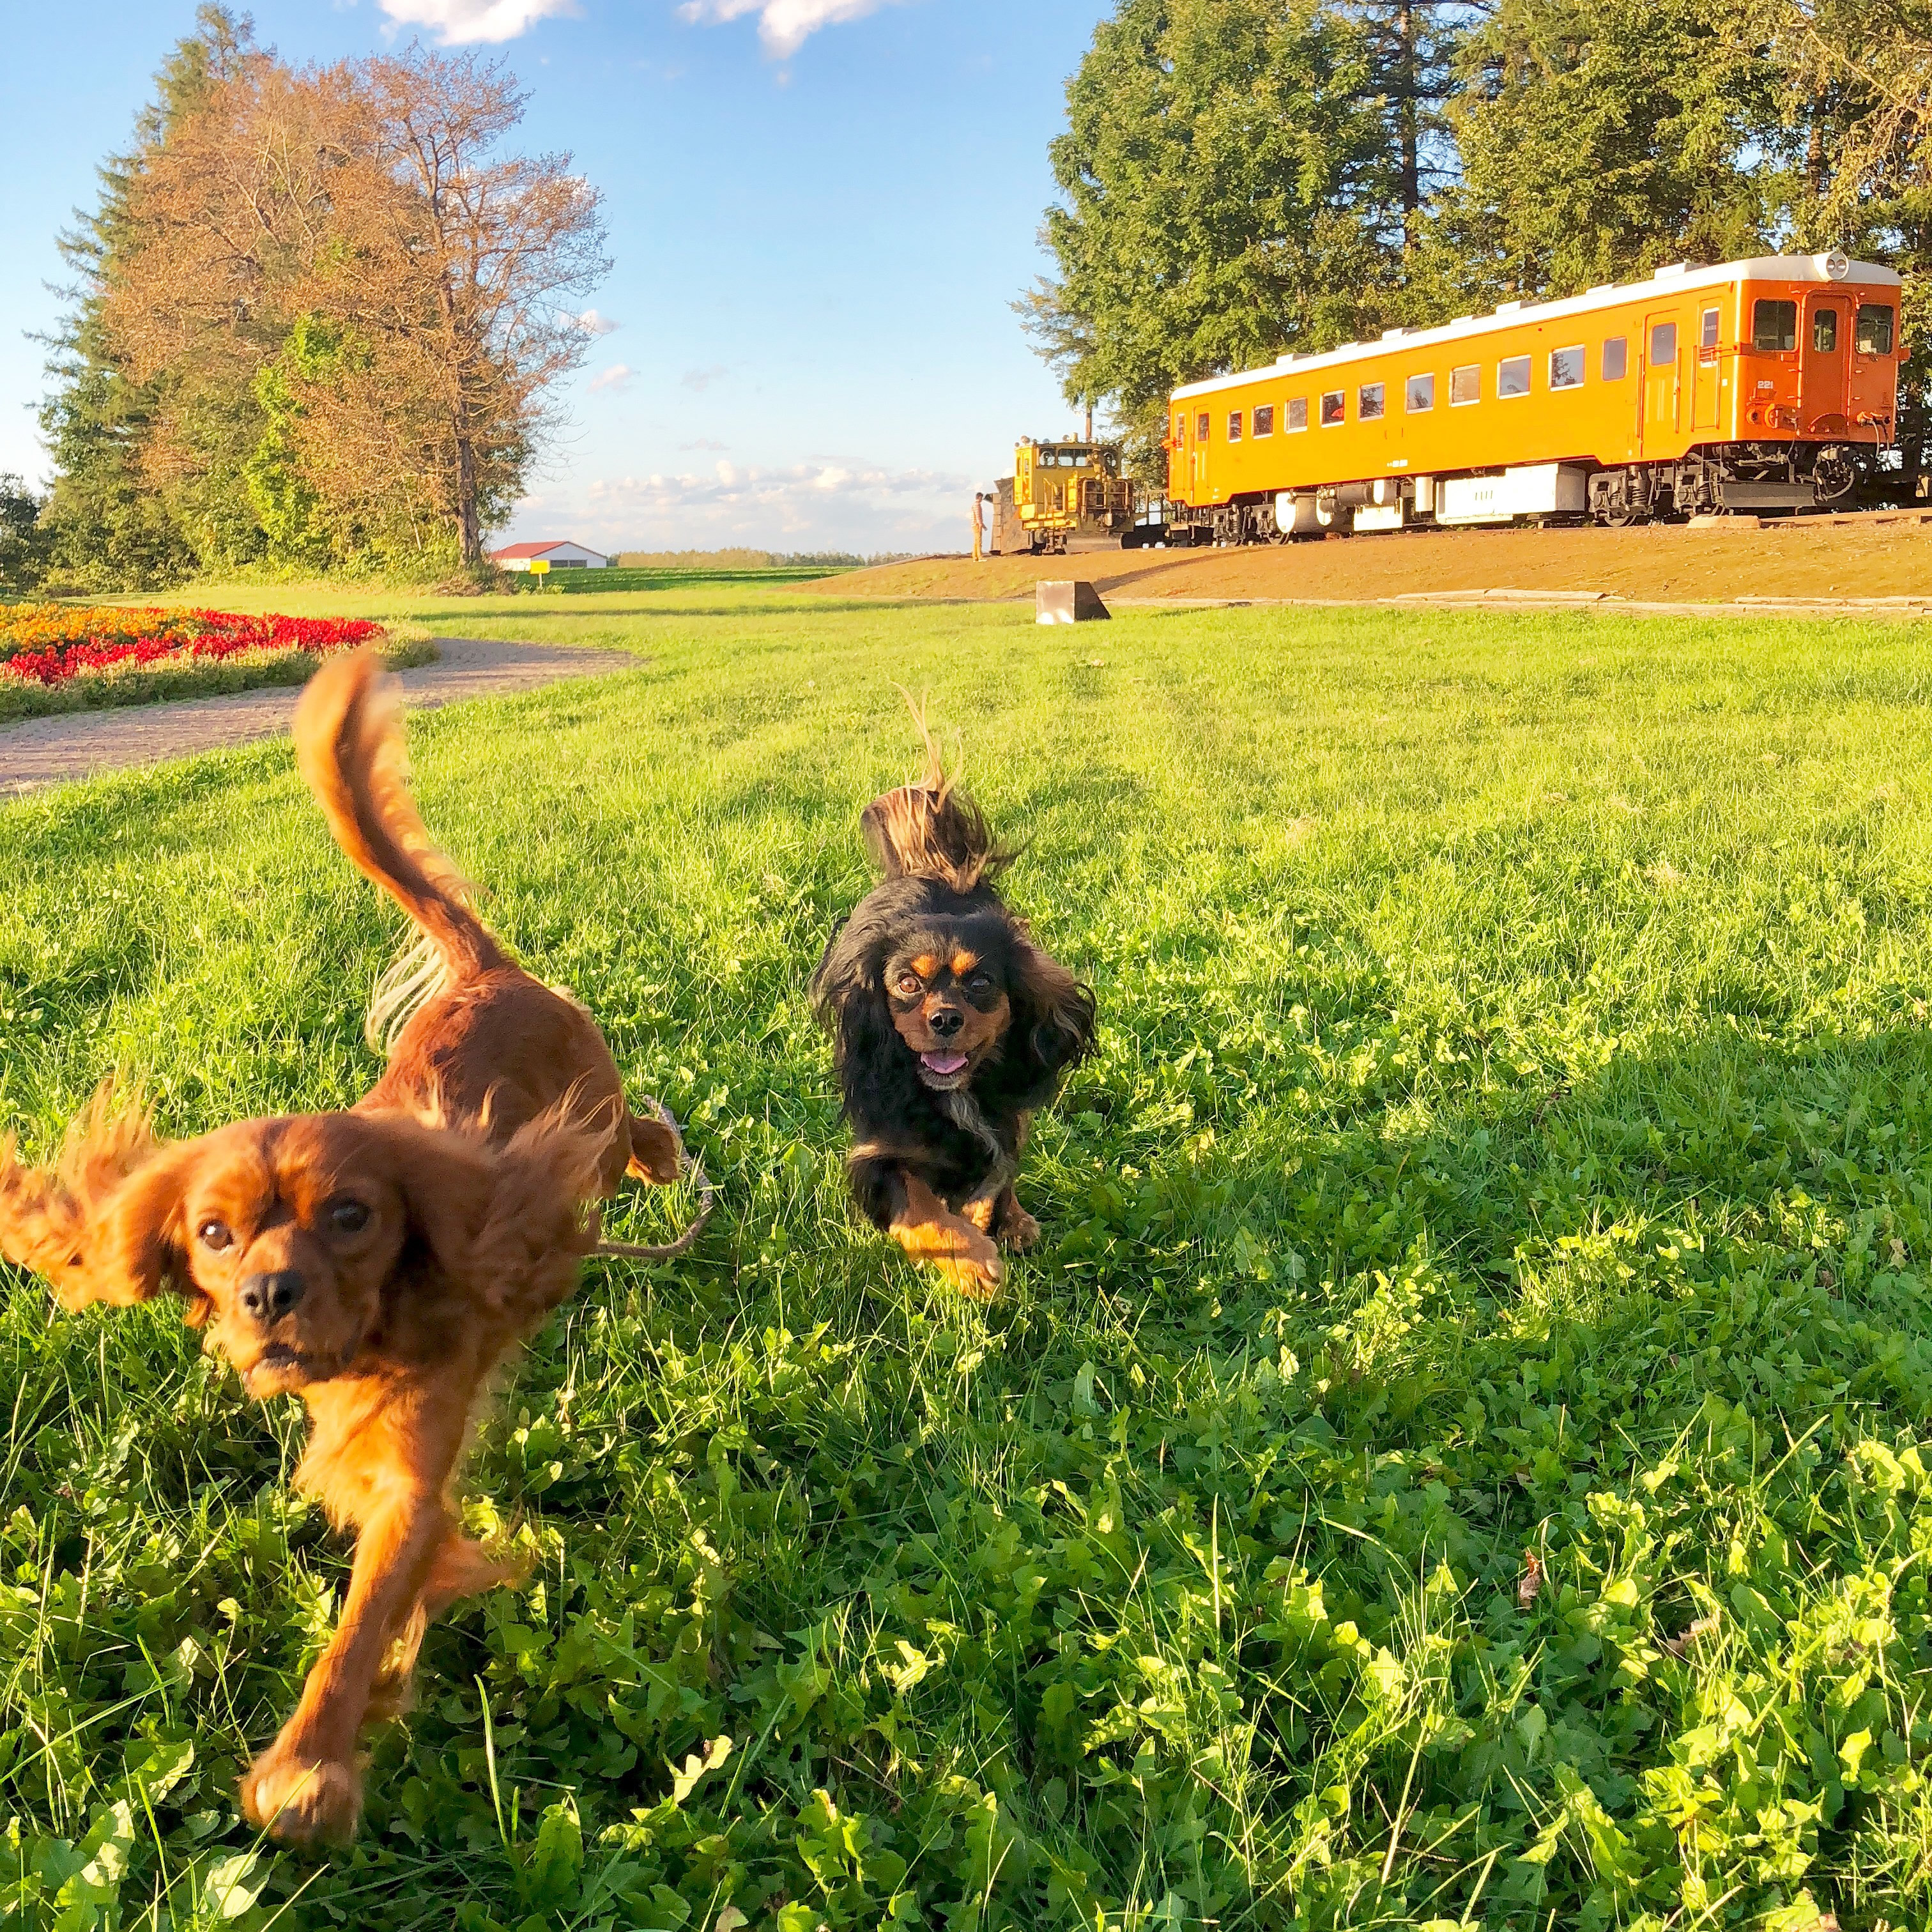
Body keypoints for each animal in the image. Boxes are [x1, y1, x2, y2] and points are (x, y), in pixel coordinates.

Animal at [0, 649, 687, 1839]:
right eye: (213, 1234)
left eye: (354, 1216)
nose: (268, 1296)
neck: (372, 1338)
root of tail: (491, 972)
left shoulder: (411, 1485)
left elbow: (363, 1619)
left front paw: (310, 1763)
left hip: (593, 1127)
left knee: (623, 1146)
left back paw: (663, 1156)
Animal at [808, 710, 1097, 1298]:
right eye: (906, 985)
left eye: (981, 982)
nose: (944, 1019)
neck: (954, 1097)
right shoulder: (877, 1155)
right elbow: (920, 1205)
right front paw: (971, 1260)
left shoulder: (1001, 1126)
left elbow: (995, 1176)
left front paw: (993, 1223)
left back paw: (1016, 1220)